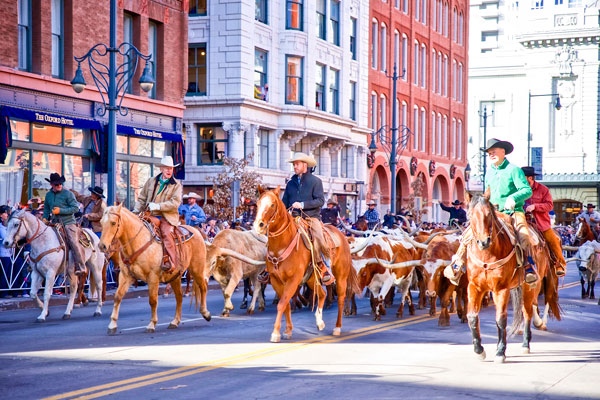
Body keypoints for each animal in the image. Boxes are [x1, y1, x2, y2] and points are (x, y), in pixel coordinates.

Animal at [98, 206, 211, 334]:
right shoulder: (126, 276)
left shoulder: (152, 277)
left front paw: (152, 324)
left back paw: (206, 313)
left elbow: (152, 300)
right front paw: (112, 325)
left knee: (203, 287)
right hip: (175, 276)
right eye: (101, 222)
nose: (102, 246)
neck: (137, 242)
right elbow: (118, 297)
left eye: (113, 223)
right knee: (179, 296)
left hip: (197, 269)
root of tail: (197, 231)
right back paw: (175, 321)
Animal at [253, 187, 360, 340]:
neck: (282, 246)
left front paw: (275, 333)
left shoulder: (293, 279)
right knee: (322, 294)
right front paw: (288, 331)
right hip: (311, 278)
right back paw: (319, 322)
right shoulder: (275, 280)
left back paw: (337, 328)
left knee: (340, 298)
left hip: (341, 277)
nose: (259, 225)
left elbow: (282, 303)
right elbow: (286, 304)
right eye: (257, 204)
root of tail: (342, 235)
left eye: (272, 205)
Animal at [464, 192, 540, 364]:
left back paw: (525, 344)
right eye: (470, 215)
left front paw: (500, 351)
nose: (483, 242)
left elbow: (500, 319)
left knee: (527, 312)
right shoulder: (474, 287)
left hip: (528, 287)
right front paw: (479, 350)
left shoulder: (501, 289)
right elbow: (472, 317)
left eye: (488, 214)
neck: (487, 255)